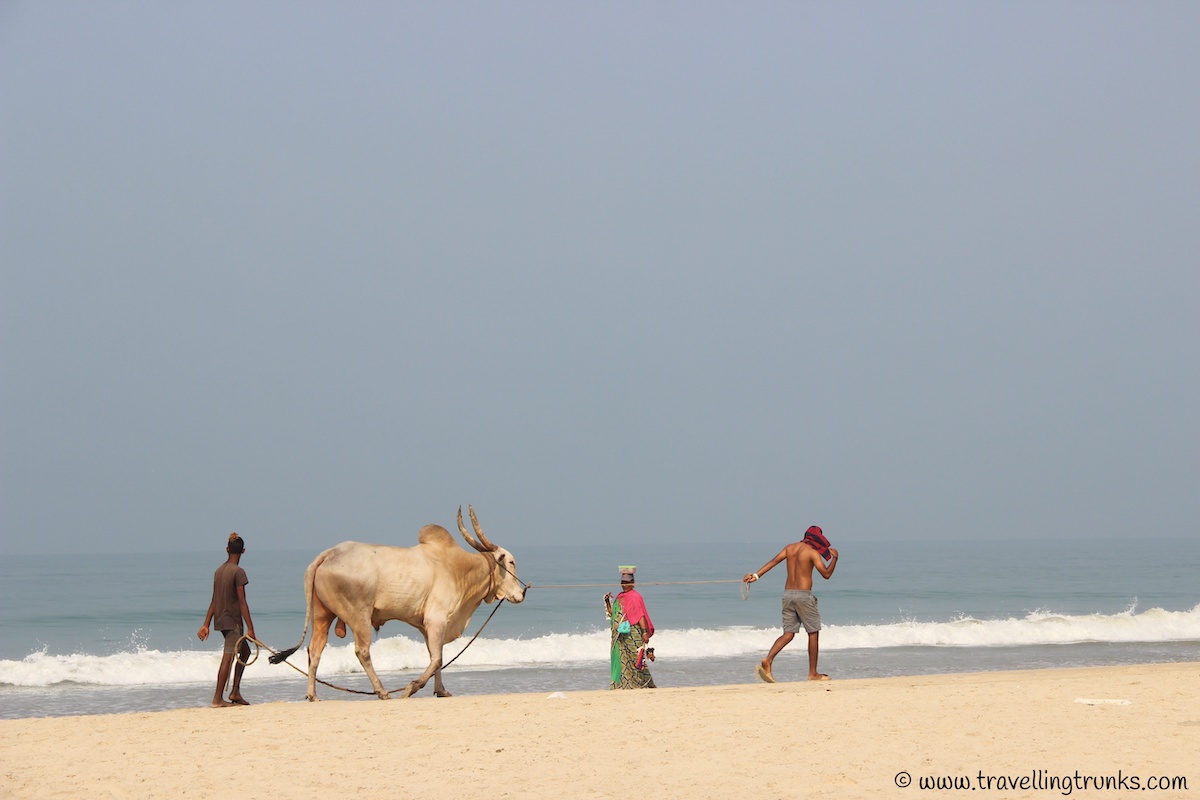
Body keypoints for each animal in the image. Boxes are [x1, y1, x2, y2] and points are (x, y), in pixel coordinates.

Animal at [276, 506, 530, 700]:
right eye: (511, 561)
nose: (522, 593)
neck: (460, 569)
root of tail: (327, 555)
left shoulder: (429, 627)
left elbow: (437, 657)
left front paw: (441, 690)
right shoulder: (436, 620)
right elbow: (437, 658)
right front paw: (411, 688)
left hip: (322, 615)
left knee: (315, 650)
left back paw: (313, 695)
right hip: (358, 615)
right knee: (362, 651)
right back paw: (381, 691)